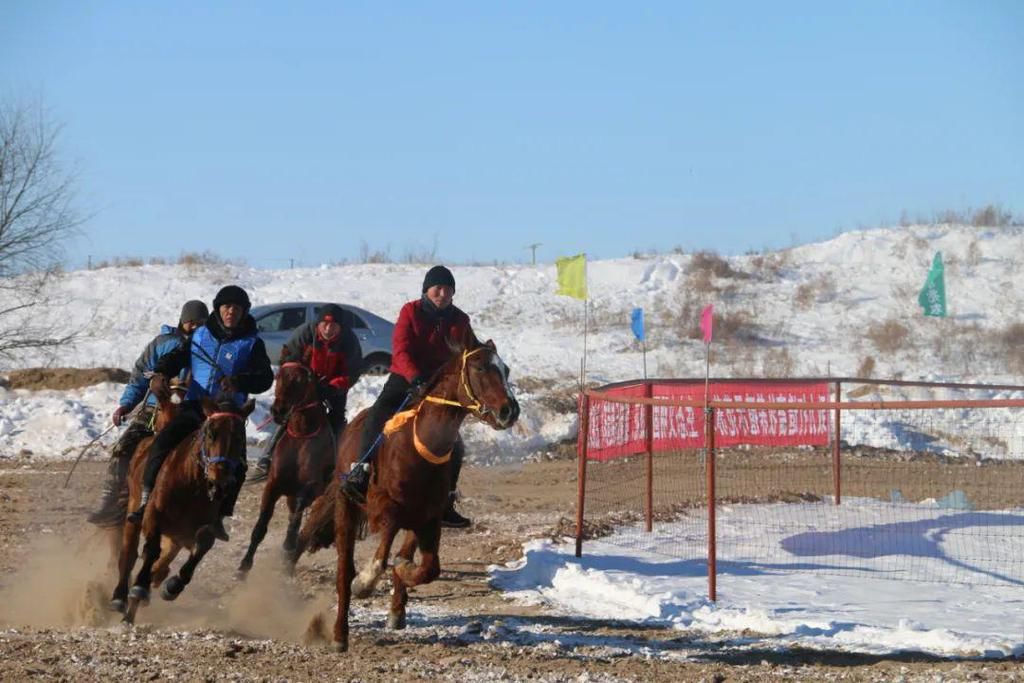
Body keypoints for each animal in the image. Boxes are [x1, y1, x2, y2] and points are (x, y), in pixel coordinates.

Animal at [112, 393, 253, 622]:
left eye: (240, 438)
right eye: (211, 433)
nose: (220, 482)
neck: (192, 483)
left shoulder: (204, 526)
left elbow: (202, 545)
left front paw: (172, 586)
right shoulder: (153, 515)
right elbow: (151, 549)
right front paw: (140, 587)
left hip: (176, 536)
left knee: (163, 562)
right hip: (134, 509)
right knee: (129, 554)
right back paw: (121, 597)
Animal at [236, 362, 333, 577]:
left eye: (299, 380)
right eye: (279, 376)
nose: (278, 410)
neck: (302, 435)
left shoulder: (311, 488)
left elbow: (297, 517)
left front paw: (289, 545)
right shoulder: (273, 486)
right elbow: (260, 527)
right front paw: (244, 566)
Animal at [327, 331, 520, 651]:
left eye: (505, 370)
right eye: (480, 367)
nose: (510, 411)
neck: (419, 446)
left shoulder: (429, 520)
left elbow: (428, 569)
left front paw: (403, 570)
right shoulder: (384, 508)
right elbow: (380, 555)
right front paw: (366, 582)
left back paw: (396, 606)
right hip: (347, 507)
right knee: (344, 571)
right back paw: (340, 633)